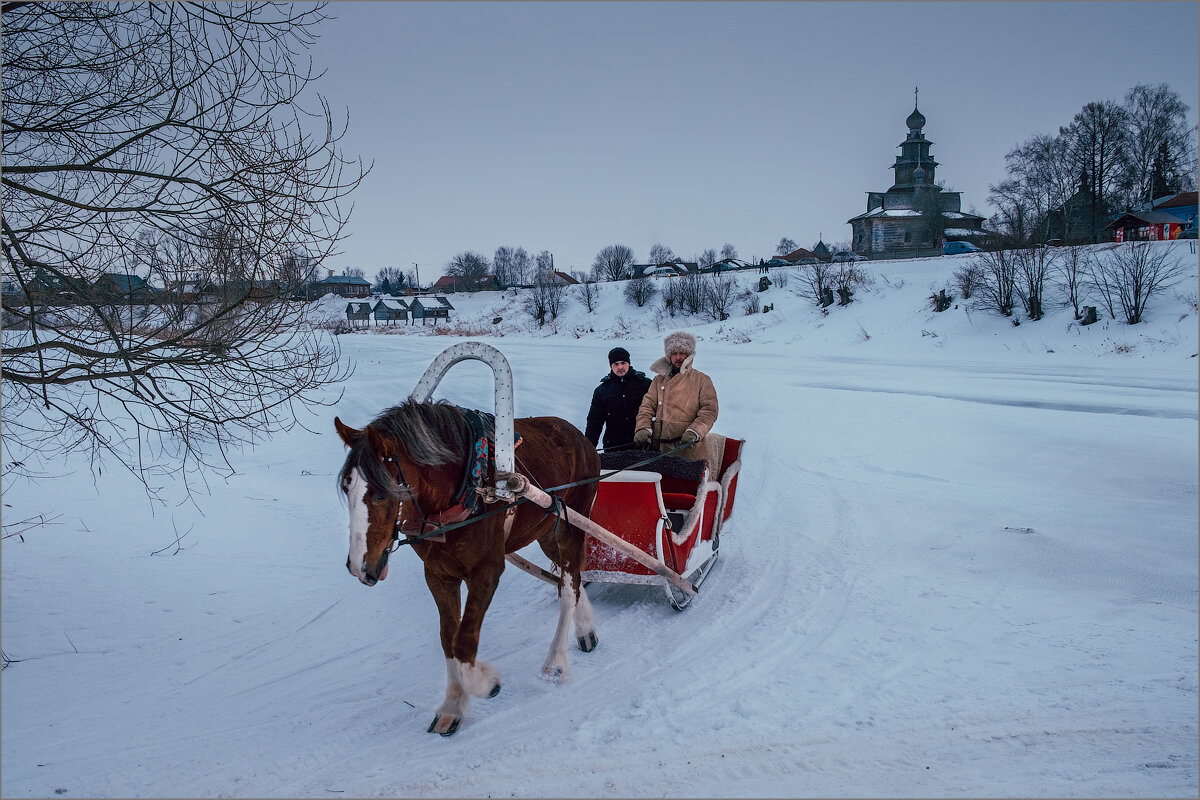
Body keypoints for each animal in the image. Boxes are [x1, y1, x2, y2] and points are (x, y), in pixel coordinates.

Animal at [333, 400, 600, 738]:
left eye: (381, 493)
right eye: (346, 489)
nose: (357, 566)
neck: (460, 491)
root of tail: (579, 436)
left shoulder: (486, 572)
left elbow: (465, 638)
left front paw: (485, 684)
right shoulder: (438, 575)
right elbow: (449, 637)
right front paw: (452, 708)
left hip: (572, 525)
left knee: (567, 587)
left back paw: (556, 662)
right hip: (546, 532)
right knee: (573, 579)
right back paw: (585, 628)